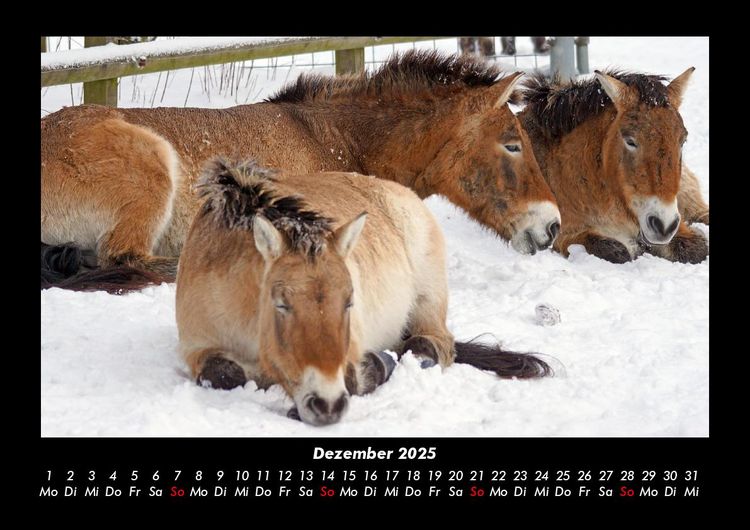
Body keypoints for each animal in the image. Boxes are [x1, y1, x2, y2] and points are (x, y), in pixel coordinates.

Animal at [176, 158, 551, 426]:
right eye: (280, 304)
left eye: (349, 302)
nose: (325, 404)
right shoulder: (197, 348)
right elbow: (223, 373)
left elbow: (356, 377)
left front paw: (376, 366)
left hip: (428, 300)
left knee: (431, 345)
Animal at [517, 69, 709, 264]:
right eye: (630, 141)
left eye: (682, 140)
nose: (663, 225)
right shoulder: (562, 235)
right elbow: (615, 250)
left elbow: (697, 248)